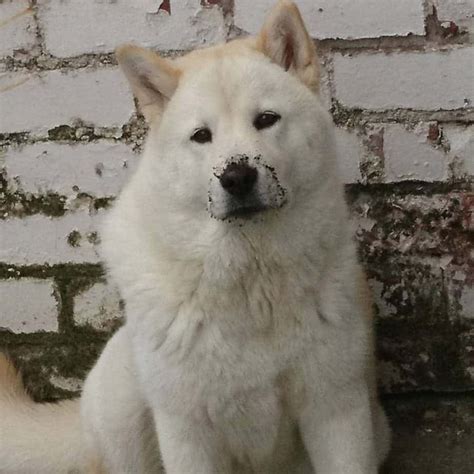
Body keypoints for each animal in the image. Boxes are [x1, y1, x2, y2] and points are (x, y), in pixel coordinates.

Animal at [0, 1, 388, 472]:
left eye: (266, 120)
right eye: (201, 135)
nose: (237, 177)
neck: (250, 280)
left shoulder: (336, 408)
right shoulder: (187, 430)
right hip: (122, 396)